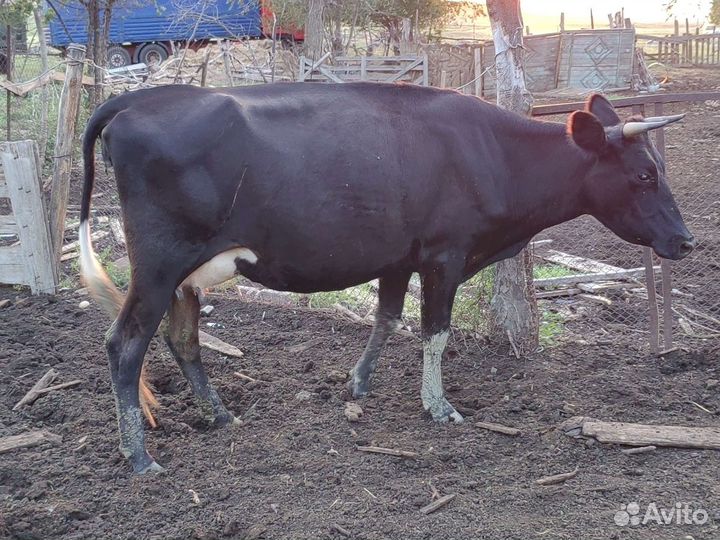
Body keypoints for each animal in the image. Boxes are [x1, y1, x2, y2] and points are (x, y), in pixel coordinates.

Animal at [79, 82, 695, 473]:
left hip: (185, 272)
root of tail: (141, 97)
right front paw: (438, 406)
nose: (686, 241)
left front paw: (358, 383)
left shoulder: (399, 258)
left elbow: (387, 319)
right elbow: (435, 331)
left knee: (182, 338)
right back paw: (139, 456)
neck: (493, 155)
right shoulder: (445, 255)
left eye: (661, 169)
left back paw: (220, 414)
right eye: (644, 174)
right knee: (124, 343)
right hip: (158, 263)